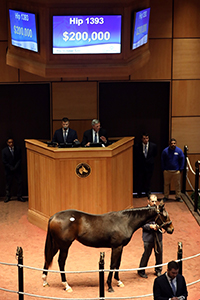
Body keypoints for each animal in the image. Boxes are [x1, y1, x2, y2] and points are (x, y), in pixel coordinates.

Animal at [42, 200, 173, 292]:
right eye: (165, 216)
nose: (171, 229)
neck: (125, 221)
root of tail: (53, 217)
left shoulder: (121, 247)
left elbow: (118, 264)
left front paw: (119, 281)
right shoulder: (116, 247)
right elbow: (112, 265)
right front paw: (110, 286)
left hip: (56, 244)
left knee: (49, 257)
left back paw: (45, 281)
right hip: (64, 246)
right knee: (61, 262)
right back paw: (66, 285)